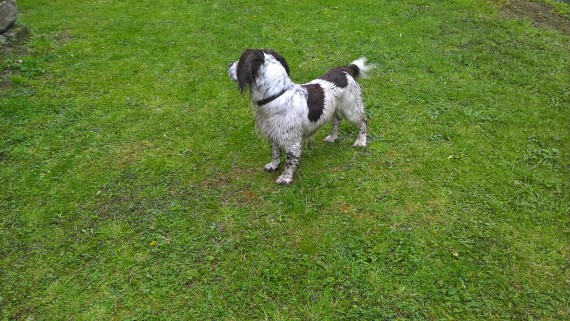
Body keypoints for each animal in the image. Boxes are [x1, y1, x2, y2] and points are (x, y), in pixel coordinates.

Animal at [226, 48, 372, 184]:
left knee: (363, 122)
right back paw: (332, 137)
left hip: (351, 109)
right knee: (337, 121)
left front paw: (285, 178)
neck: (276, 95)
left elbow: (289, 162)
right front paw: (273, 165)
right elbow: (275, 153)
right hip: (332, 110)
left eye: (240, 61)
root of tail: (345, 69)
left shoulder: (292, 142)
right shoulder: (272, 134)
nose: (228, 65)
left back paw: (361, 141)